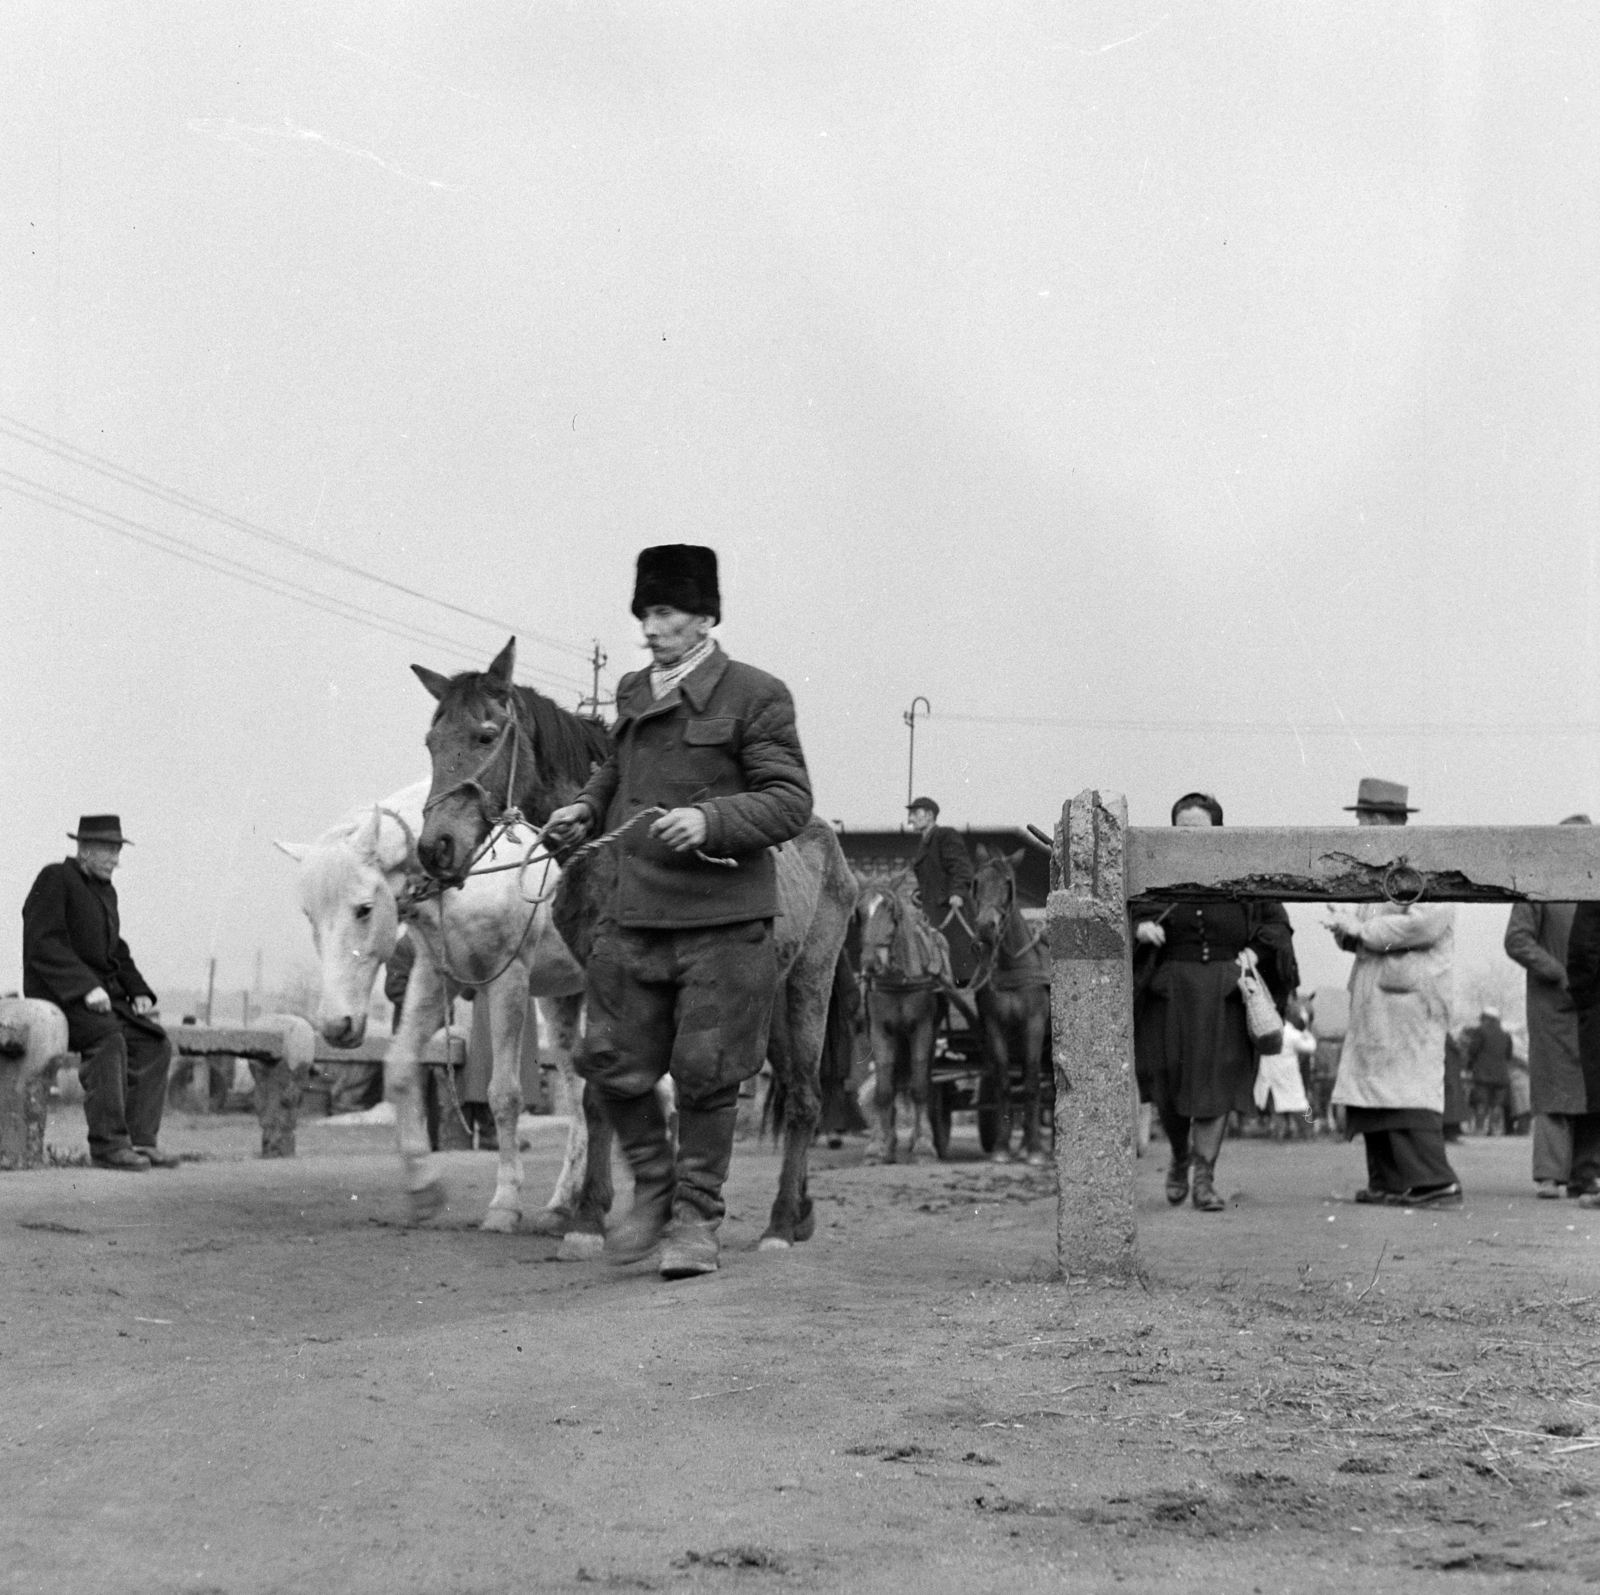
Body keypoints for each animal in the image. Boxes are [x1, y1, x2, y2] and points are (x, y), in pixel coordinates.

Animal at [276, 777, 611, 1254]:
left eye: (364, 908)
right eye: (309, 915)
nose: (337, 1026)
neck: (465, 871)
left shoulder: (507, 979)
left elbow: (504, 1095)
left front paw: (504, 1204)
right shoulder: (437, 977)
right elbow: (399, 1069)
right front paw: (423, 1187)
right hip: (563, 999)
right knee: (583, 1090)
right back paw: (565, 1203)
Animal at [966, 838, 1056, 1164]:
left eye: (1008, 883)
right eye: (976, 882)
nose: (985, 927)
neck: (1011, 966)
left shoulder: (1034, 1025)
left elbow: (1030, 1085)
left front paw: (1036, 1150)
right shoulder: (995, 1027)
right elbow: (1005, 1083)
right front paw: (1003, 1148)